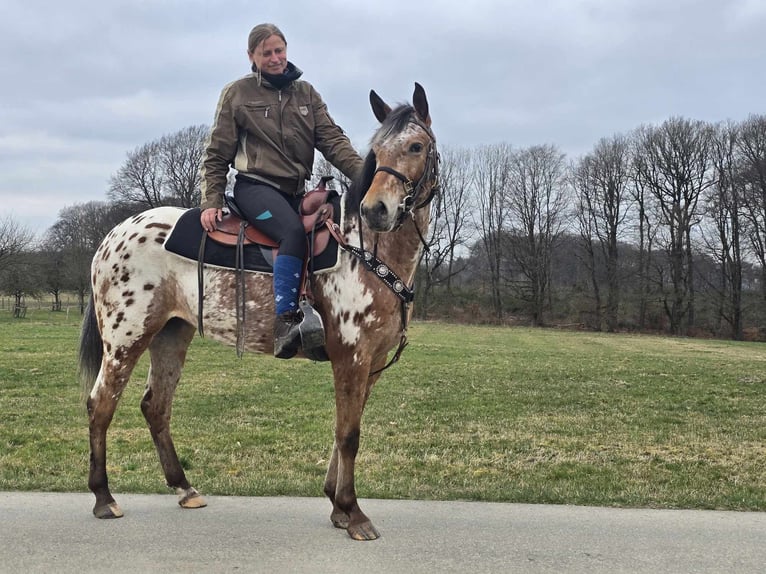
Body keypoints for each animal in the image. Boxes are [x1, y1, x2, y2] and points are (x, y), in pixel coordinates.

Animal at [79, 83, 440, 544]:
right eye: (376, 151)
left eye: (415, 146)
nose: (376, 209)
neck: (364, 249)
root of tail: (112, 235)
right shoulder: (352, 358)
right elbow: (349, 435)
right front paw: (353, 511)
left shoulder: (371, 364)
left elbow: (344, 430)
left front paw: (337, 506)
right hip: (126, 337)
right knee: (101, 405)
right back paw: (103, 497)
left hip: (171, 334)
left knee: (155, 406)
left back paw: (184, 487)